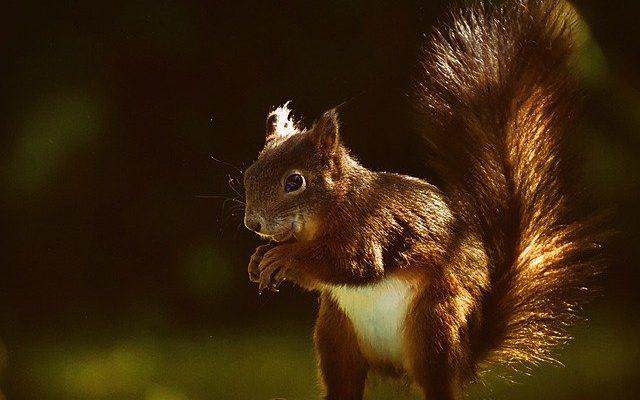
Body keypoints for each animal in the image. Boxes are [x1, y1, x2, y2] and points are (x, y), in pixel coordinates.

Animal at [242, 0, 603, 399]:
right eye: (249, 173)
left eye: (295, 182)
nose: (252, 223)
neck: (331, 210)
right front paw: (259, 257)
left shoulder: (372, 227)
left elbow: (351, 264)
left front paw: (283, 257)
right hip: (335, 335)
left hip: (434, 326)